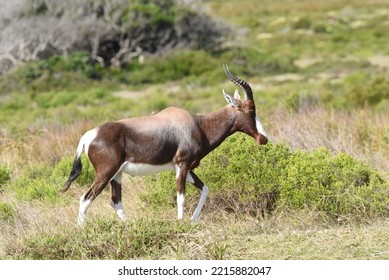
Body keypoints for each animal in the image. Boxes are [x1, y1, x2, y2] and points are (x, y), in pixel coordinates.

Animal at [61, 65, 266, 225]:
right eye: (251, 110)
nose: (263, 138)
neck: (196, 124)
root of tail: (88, 136)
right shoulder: (182, 165)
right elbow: (181, 197)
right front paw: (181, 223)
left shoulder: (185, 167)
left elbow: (205, 189)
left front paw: (193, 221)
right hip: (105, 173)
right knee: (86, 198)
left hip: (116, 174)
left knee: (115, 201)